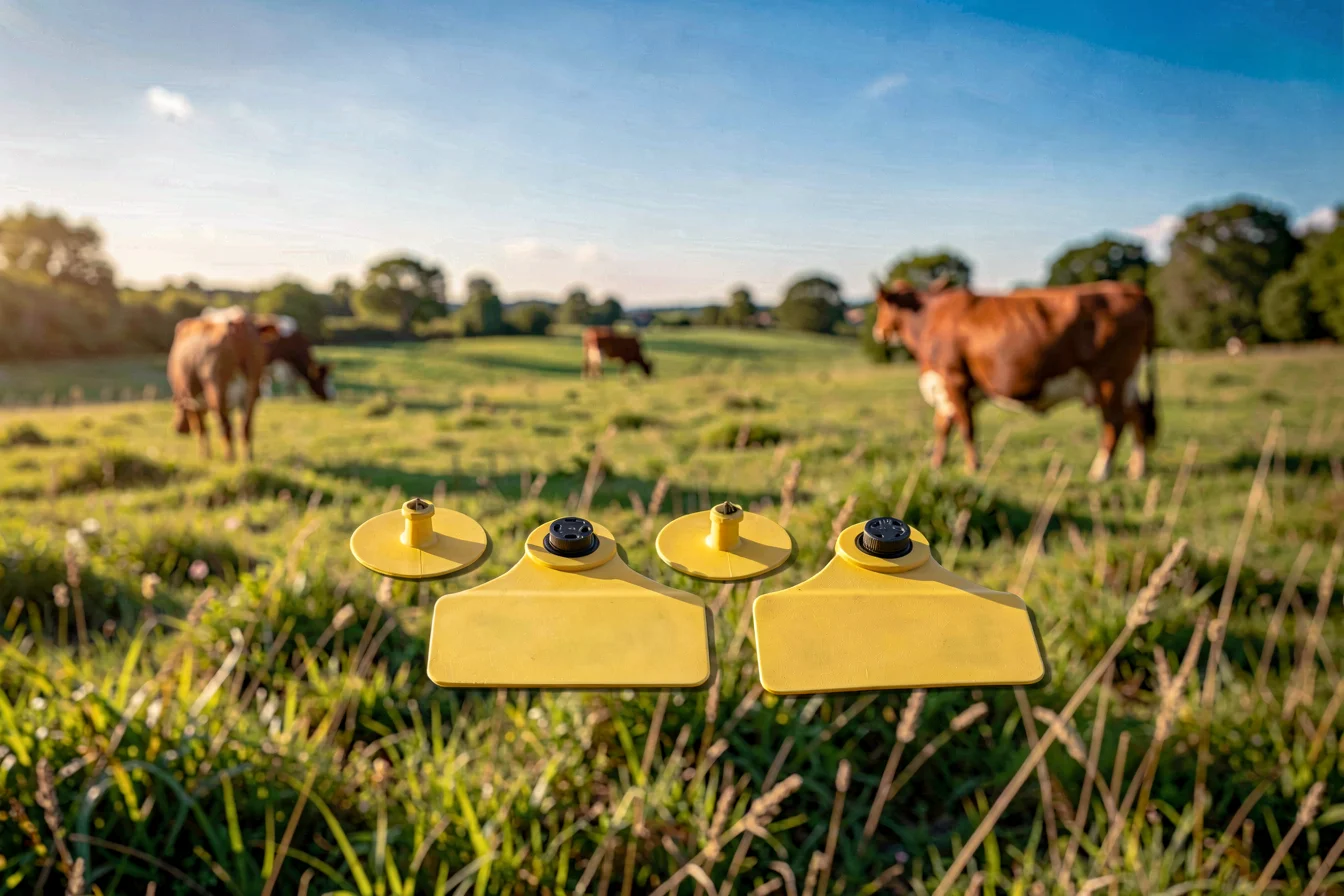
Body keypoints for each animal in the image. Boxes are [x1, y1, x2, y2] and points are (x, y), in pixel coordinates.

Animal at [872, 278, 1157, 481]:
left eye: (881, 305)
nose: (878, 331)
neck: (928, 318)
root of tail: (1132, 290)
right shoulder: (946, 386)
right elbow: (943, 425)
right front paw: (937, 463)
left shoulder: (955, 381)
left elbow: (966, 427)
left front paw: (972, 466)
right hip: (1127, 379)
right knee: (1137, 415)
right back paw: (1137, 469)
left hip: (1109, 378)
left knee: (1114, 421)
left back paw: (1101, 472)